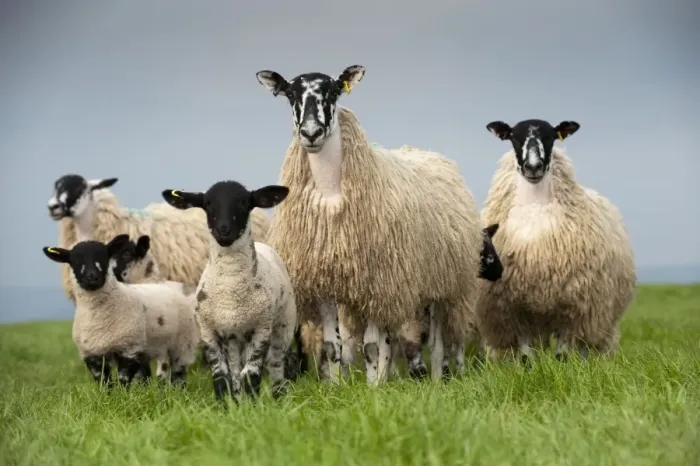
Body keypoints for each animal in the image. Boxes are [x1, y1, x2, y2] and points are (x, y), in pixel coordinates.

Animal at [41, 234, 200, 386]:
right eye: (74, 261)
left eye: (104, 257)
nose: (92, 277)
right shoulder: (92, 354)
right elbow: (104, 382)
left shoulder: (130, 348)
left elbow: (123, 379)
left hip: (180, 344)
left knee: (178, 374)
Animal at [161, 181, 297, 401]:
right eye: (208, 203)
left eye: (243, 202)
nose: (223, 230)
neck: (230, 289)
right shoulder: (208, 331)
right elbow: (221, 376)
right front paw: (225, 405)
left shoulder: (261, 328)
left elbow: (251, 375)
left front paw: (252, 404)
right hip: (233, 337)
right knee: (234, 369)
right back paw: (237, 398)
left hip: (283, 325)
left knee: (276, 366)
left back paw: (279, 396)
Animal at [255, 65, 483, 383]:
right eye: (290, 94)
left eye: (333, 91)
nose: (311, 133)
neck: (331, 192)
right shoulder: (326, 282)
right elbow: (332, 347)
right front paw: (336, 388)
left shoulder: (377, 279)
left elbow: (373, 348)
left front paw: (374, 388)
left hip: (444, 284)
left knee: (437, 346)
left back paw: (437, 380)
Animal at [476, 118, 637, 362]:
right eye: (513, 137)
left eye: (551, 136)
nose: (533, 167)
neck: (535, 210)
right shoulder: (515, 309)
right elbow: (526, 357)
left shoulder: (572, 305)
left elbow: (563, 355)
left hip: (597, 315)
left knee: (587, 348)